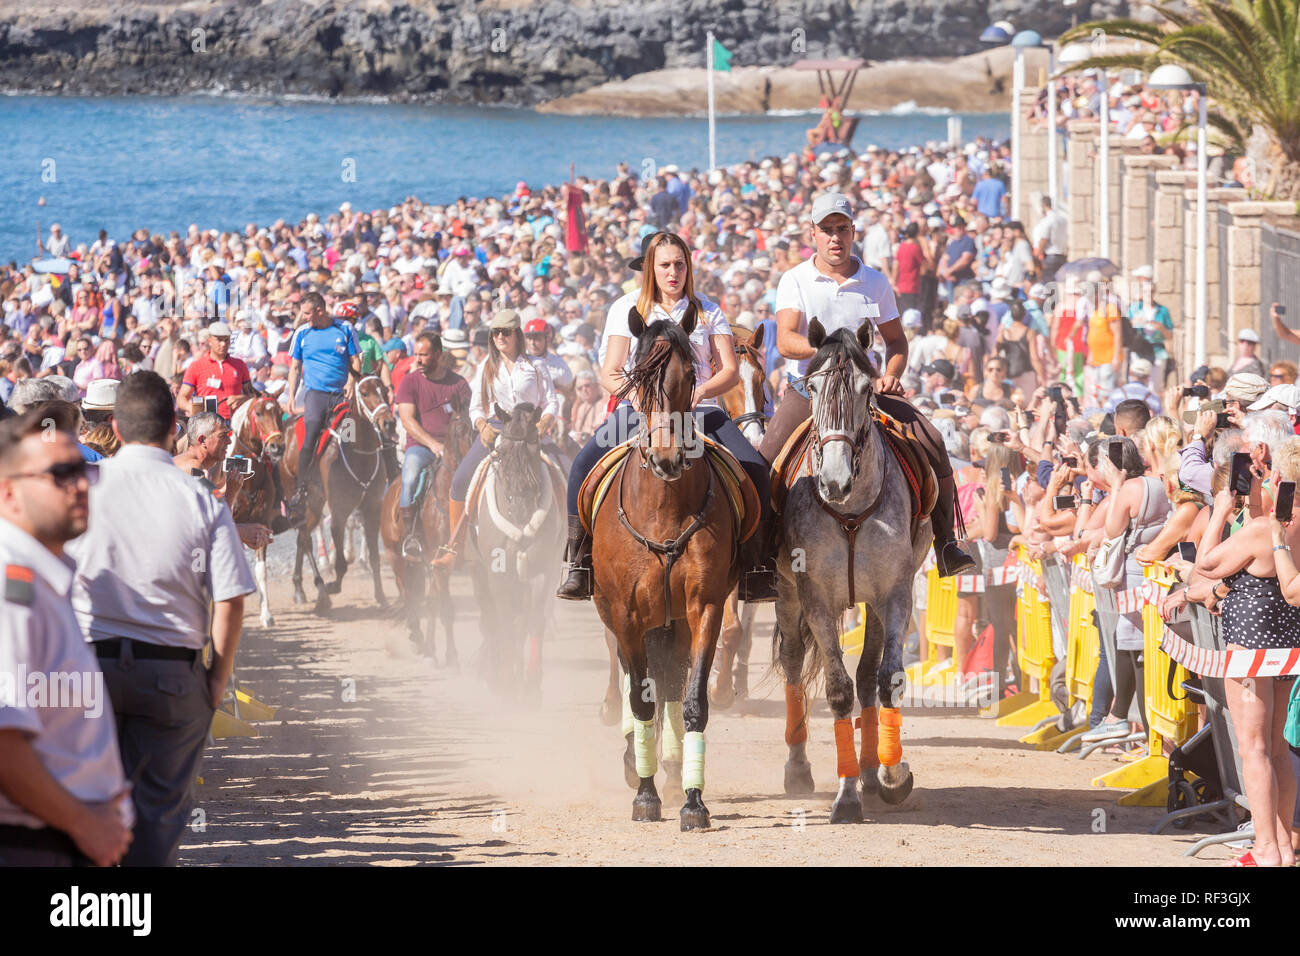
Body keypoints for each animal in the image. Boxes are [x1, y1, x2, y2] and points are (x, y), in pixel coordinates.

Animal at [227, 394, 287, 627]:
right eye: (259, 413)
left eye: (280, 413)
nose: (277, 447)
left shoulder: (262, 524)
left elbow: (261, 571)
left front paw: (266, 614)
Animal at [378, 391, 475, 664]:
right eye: (461, 428)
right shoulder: (439, 562)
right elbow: (444, 608)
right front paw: (451, 657)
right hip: (396, 556)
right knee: (409, 594)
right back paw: (417, 637)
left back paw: (427, 644)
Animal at [465, 401, 564, 699]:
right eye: (500, 454)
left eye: (534, 449)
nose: (519, 510)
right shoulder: (497, 574)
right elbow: (504, 622)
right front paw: (506, 683)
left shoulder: (542, 572)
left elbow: (533, 622)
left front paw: (530, 686)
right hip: (479, 572)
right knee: (491, 619)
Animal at [594, 307, 738, 830]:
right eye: (637, 379)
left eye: (690, 377)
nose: (668, 458)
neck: (663, 506)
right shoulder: (626, 614)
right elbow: (641, 699)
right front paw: (645, 794)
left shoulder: (705, 607)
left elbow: (692, 699)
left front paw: (693, 801)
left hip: (674, 619)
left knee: (673, 681)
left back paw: (674, 770)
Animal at [775, 319, 931, 824]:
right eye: (813, 386)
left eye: (867, 390)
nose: (835, 481)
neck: (850, 511)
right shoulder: (816, 599)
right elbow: (839, 690)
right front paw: (845, 798)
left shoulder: (895, 593)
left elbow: (887, 679)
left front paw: (892, 775)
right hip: (785, 592)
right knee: (792, 662)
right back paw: (798, 769)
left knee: (869, 675)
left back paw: (870, 770)